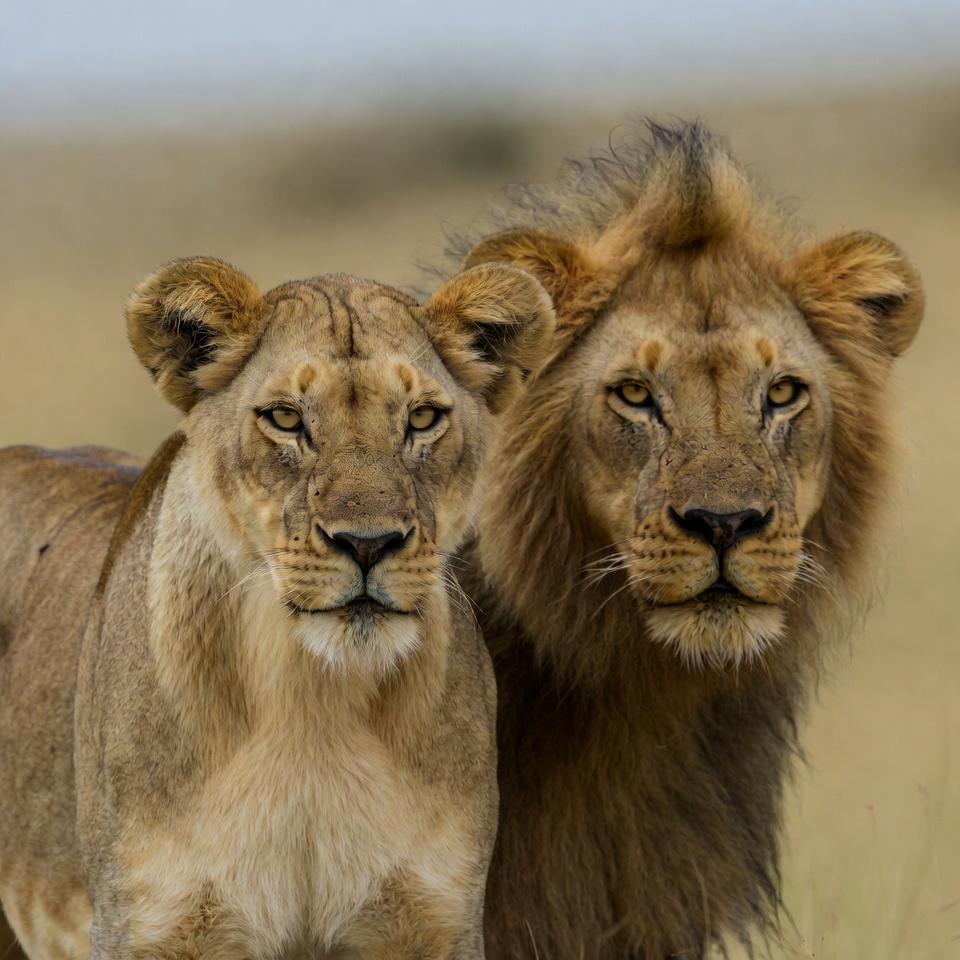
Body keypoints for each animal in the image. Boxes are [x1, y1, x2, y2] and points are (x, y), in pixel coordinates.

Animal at [0, 258, 554, 959]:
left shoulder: (440, 920)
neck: (311, 705)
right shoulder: (141, 925)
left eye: (423, 417)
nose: (368, 543)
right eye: (286, 419)